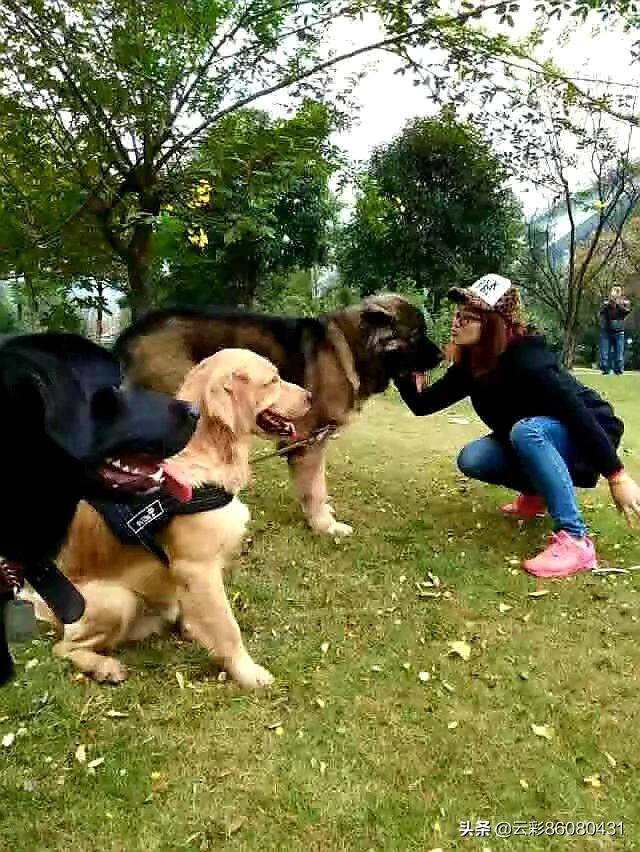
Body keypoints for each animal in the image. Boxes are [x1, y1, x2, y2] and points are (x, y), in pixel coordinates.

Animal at [45, 350, 310, 688]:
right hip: (119, 599)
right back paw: (104, 667)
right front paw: (247, 672)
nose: (311, 396)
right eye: (273, 380)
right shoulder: (198, 567)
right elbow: (228, 628)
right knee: (63, 647)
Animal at [115, 292, 442, 532]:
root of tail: (133, 331)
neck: (349, 349)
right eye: (415, 334)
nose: (442, 356)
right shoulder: (309, 442)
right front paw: (324, 525)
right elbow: (315, 488)